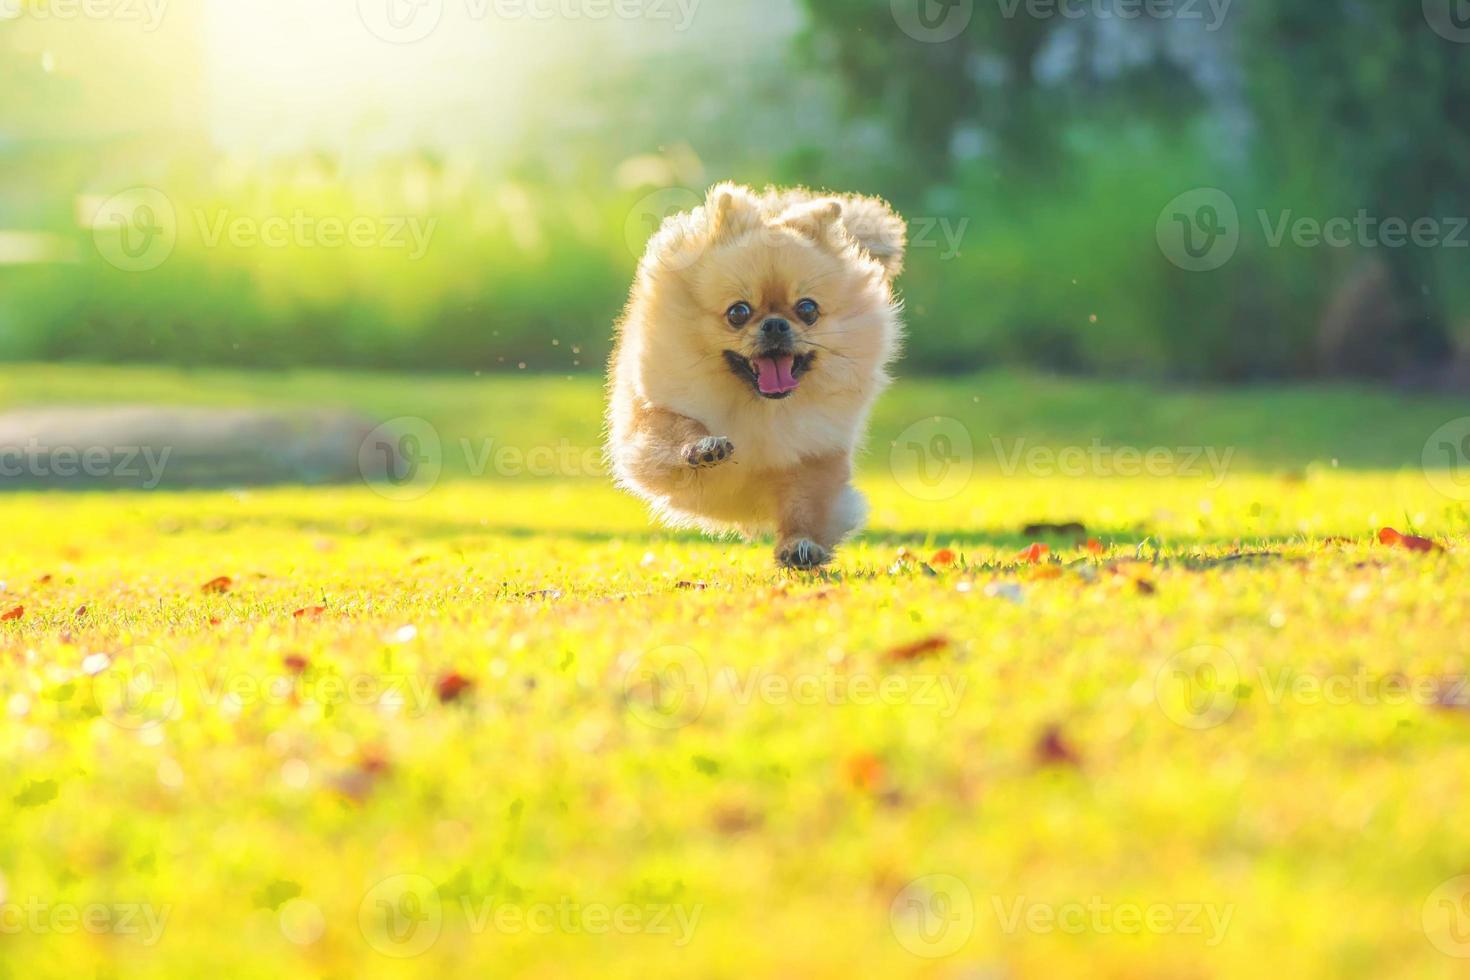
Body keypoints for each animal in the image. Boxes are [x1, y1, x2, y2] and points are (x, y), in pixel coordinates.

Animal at [608, 182, 905, 567]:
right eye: (739, 312)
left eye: (807, 309)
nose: (776, 324)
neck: (760, 407)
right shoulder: (653, 419)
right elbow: (679, 430)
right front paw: (703, 446)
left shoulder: (815, 459)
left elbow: (805, 507)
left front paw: (801, 545)